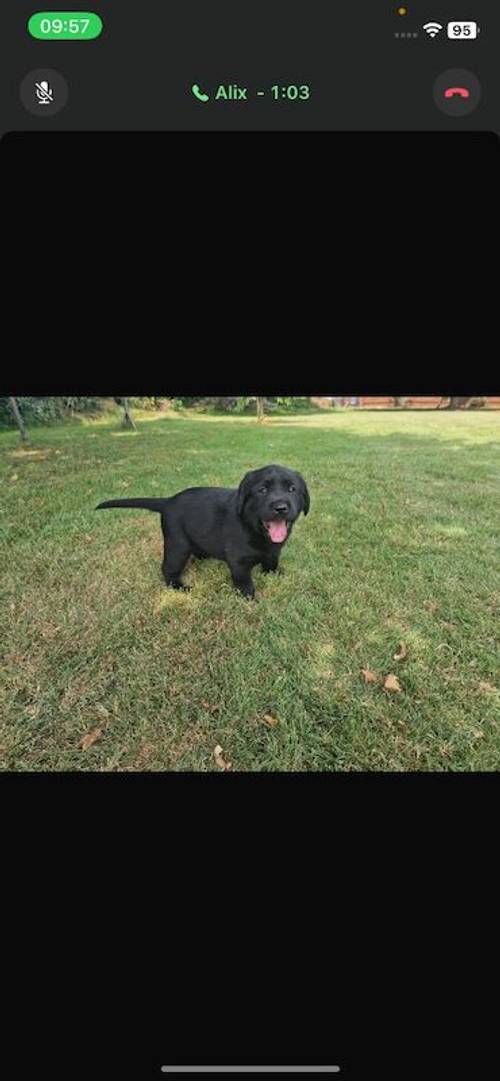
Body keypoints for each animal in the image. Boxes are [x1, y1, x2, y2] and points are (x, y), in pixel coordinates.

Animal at [96, 462, 308, 601]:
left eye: (292, 489)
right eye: (262, 490)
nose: (280, 508)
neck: (253, 527)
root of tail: (167, 501)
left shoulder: (273, 551)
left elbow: (271, 561)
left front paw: (275, 575)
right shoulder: (238, 560)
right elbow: (243, 579)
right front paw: (249, 596)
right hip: (177, 546)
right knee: (168, 569)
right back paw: (180, 587)